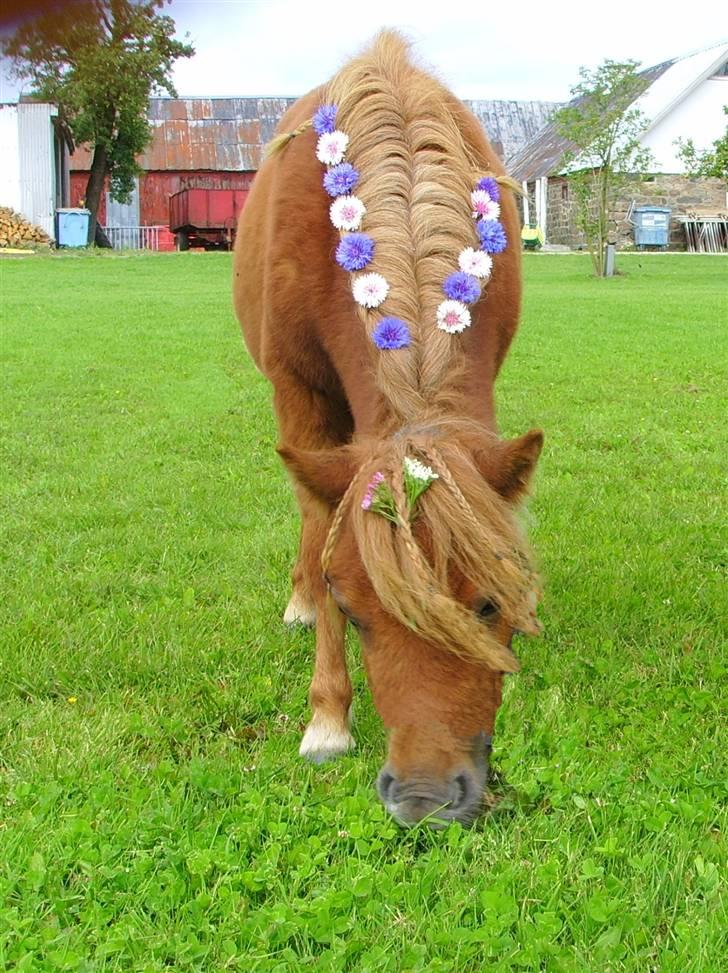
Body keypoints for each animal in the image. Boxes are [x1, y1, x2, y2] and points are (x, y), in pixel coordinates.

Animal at [232, 30, 540, 824]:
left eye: (488, 604)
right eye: (353, 609)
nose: (425, 798)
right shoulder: (299, 393)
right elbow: (319, 523)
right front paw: (327, 716)